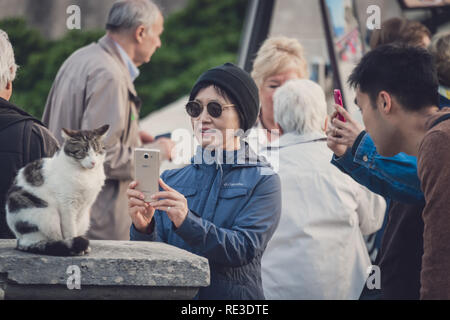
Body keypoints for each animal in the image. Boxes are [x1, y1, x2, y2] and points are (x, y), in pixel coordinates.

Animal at [5, 124, 109, 255]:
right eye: (83, 151)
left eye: (97, 151)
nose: (93, 162)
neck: (87, 175)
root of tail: (19, 241)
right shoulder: (67, 205)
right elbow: (70, 229)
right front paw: (75, 245)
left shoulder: (83, 208)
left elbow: (76, 226)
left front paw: (82, 246)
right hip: (46, 215)